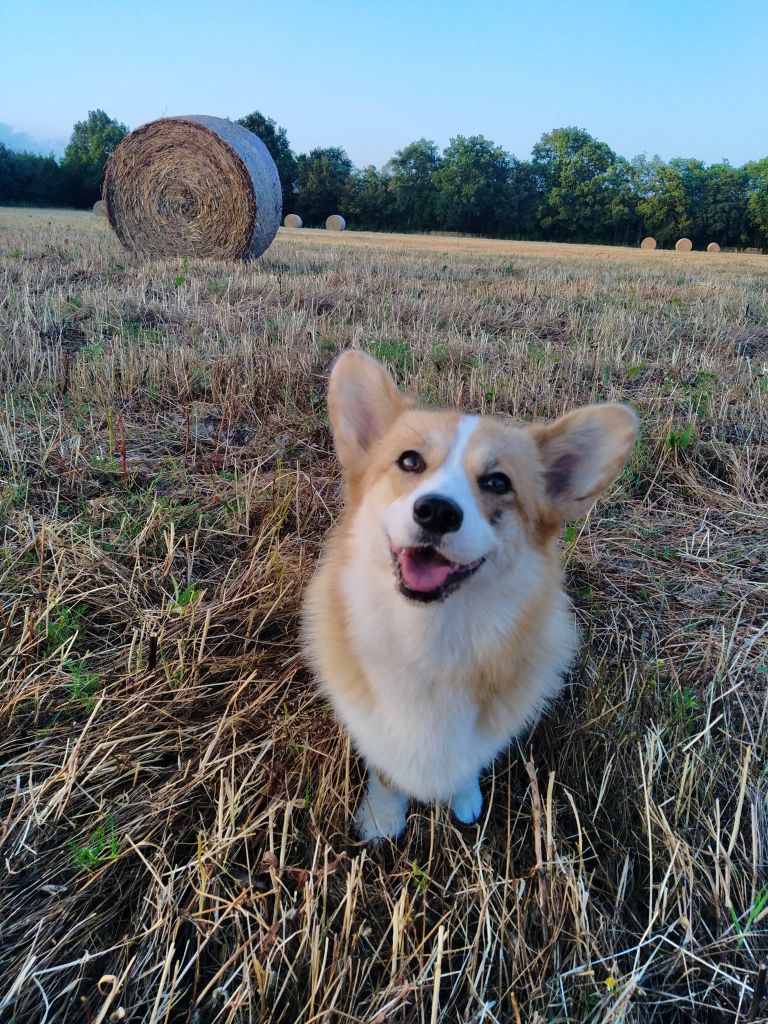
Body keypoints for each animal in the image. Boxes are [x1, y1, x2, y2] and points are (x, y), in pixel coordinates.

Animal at [301, 354, 638, 839]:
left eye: (498, 482)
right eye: (409, 461)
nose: (437, 512)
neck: (430, 635)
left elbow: (467, 762)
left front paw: (463, 799)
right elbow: (386, 772)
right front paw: (383, 818)